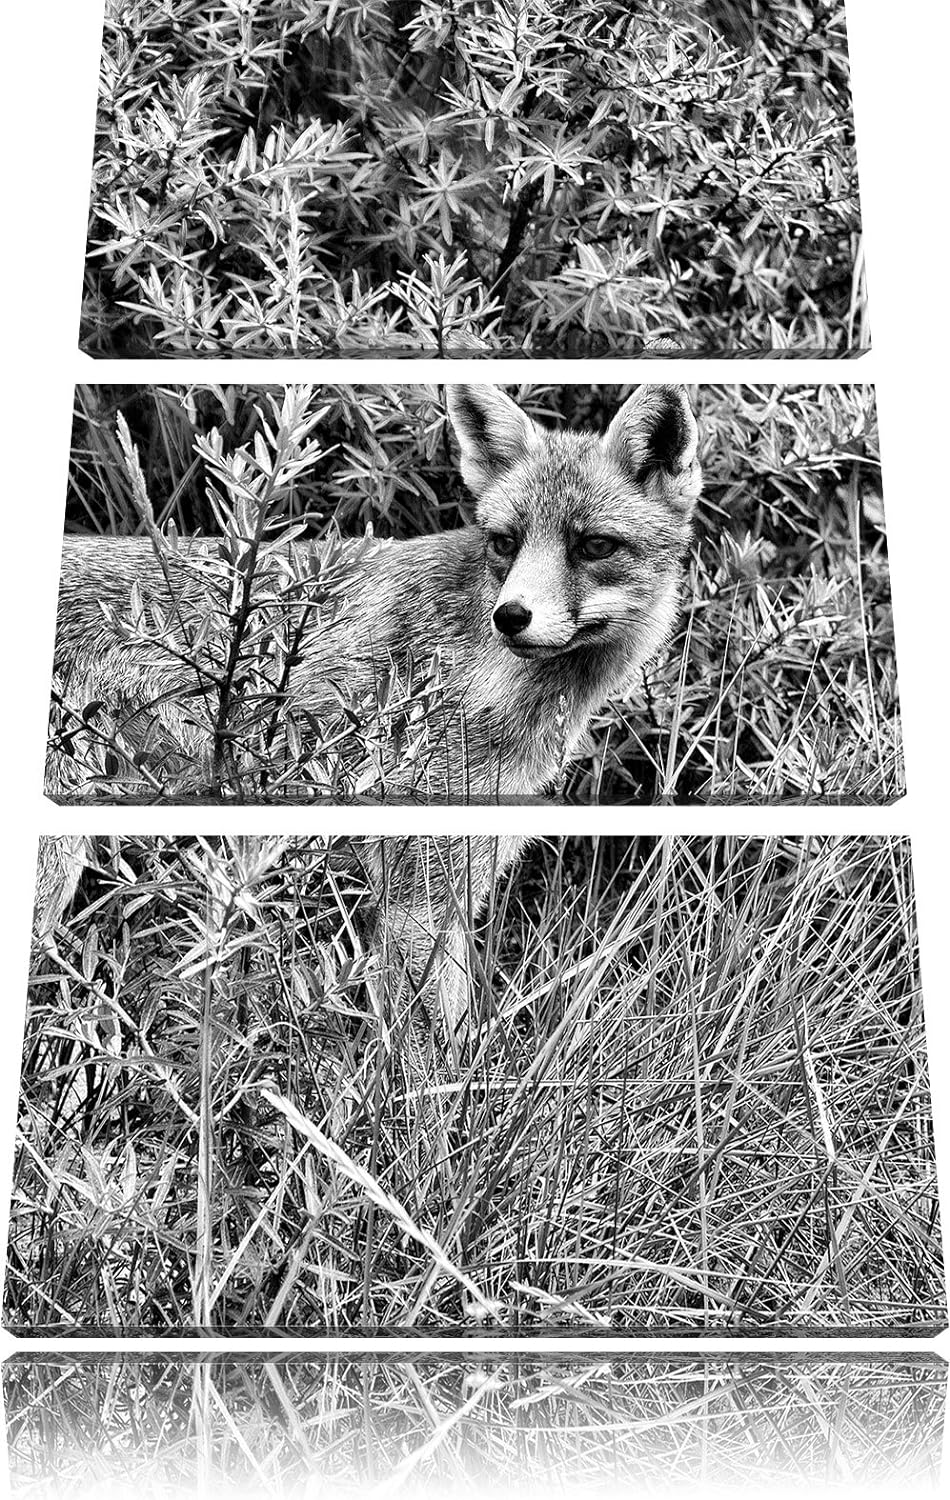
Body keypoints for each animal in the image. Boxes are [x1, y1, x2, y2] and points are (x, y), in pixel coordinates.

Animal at [38, 384, 702, 1036]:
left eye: (594, 546)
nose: (511, 616)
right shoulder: (416, 892)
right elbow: (430, 1048)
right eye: (505, 543)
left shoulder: (454, 881)